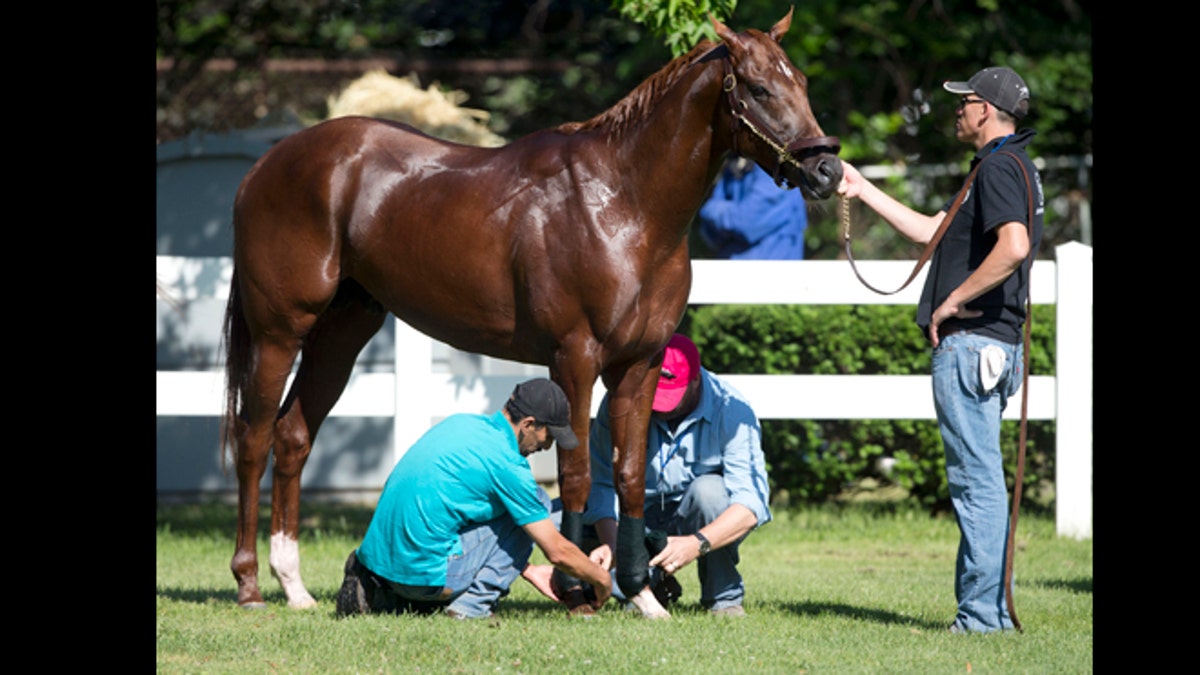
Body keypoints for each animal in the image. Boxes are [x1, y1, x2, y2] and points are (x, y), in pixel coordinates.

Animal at [221, 9, 841, 619]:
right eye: (759, 88)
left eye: (803, 82)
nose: (828, 171)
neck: (623, 204)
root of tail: (265, 166)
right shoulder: (574, 358)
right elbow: (577, 474)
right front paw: (579, 590)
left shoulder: (639, 364)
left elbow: (629, 475)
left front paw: (640, 593)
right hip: (281, 332)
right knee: (254, 438)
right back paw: (250, 586)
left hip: (343, 330)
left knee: (294, 436)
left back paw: (294, 586)